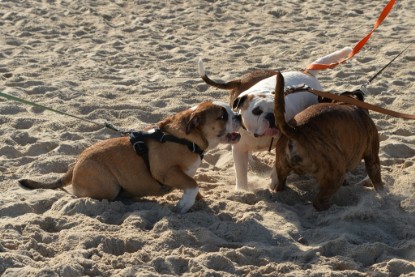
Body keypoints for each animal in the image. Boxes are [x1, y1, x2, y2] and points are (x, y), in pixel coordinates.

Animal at [19, 100, 242, 212]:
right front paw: (184, 205)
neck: (187, 137)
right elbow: (193, 184)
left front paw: (198, 202)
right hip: (106, 187)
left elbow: (193, 185)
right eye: (223, 116)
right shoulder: (167, 172)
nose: (238, 115)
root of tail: (75, 165)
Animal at [272, 71, 384, 209]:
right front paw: (383, 193)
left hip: (281, 167)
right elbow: (376, 178)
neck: (348, 103)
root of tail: (296, 130)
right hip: (335, 172)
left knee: (280, 185)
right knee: (318, 203)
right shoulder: (372, 156)